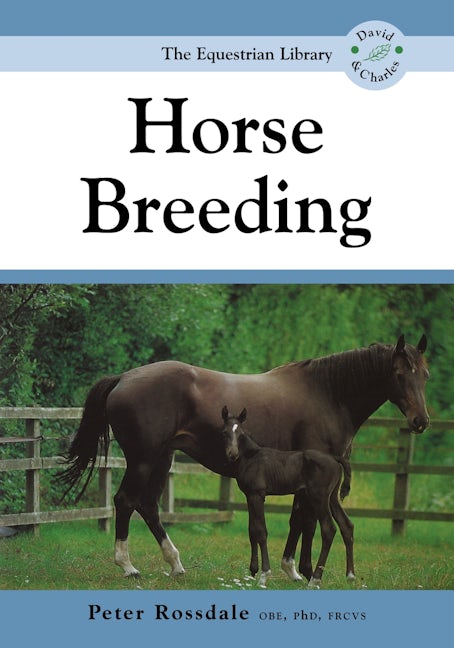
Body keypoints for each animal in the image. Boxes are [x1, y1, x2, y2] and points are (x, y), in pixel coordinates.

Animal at [220, 406, 354, 588]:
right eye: (225, 432)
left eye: (241, 434)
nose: (232, 454)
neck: (252, 457)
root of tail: (334, 457)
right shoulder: (249, 495)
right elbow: (252, 530)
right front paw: (252, 572)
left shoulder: (258, 495)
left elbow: (261, 531)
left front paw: (264, 575)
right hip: (332, 497)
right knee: (347, 525)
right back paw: (350, 576)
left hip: (319, 497)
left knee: (329, 529)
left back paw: (315, 580)